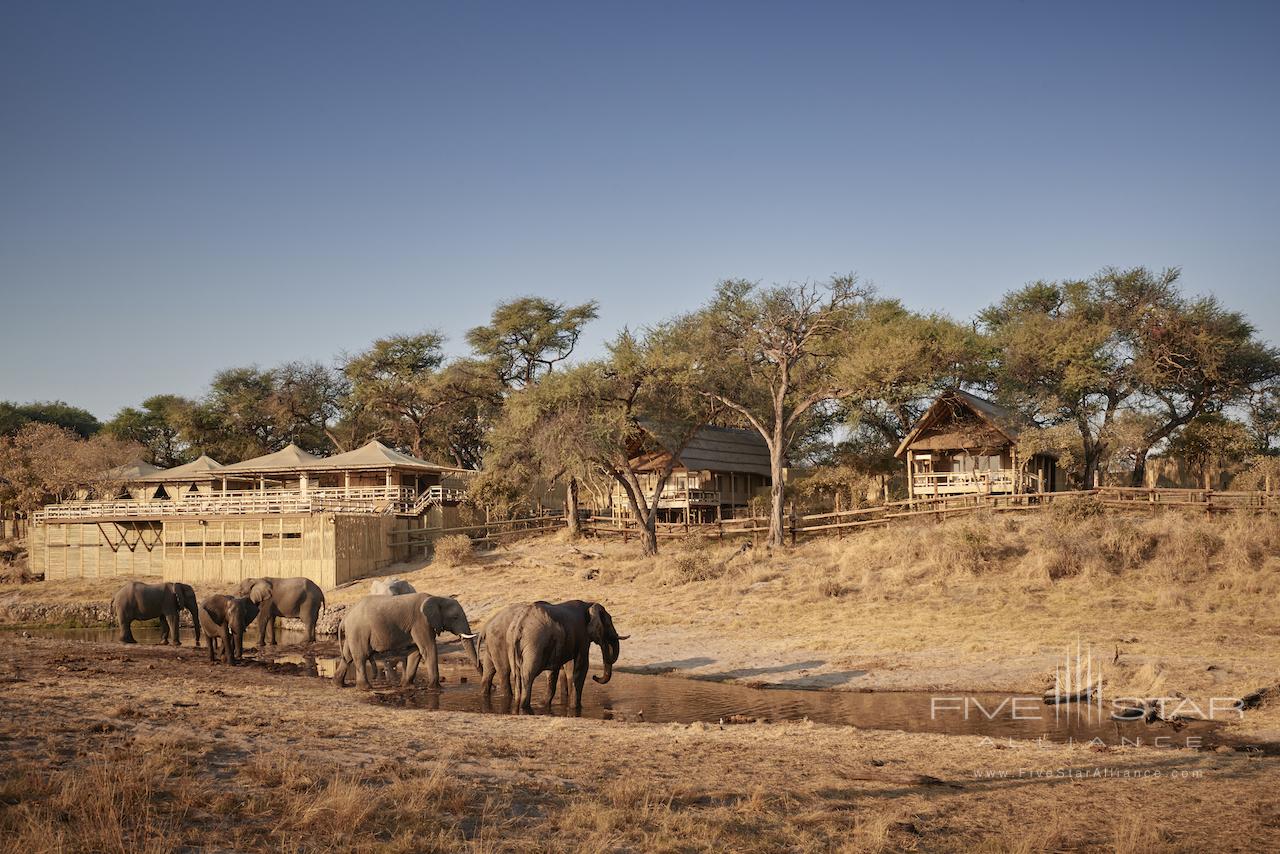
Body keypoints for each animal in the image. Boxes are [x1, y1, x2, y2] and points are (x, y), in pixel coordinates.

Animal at [335, 594, 481, 696]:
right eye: (455, 617)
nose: (480, 672)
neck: (436, 598)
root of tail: (345, 617)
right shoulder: (421, 623)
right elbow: (428, 649)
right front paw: (436, 688)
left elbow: (415, 652)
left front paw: (407, 686)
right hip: (358, 631)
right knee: (361, 656)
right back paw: (365, 688)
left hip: (352, 633)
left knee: (348, 656)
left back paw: (339, 684)